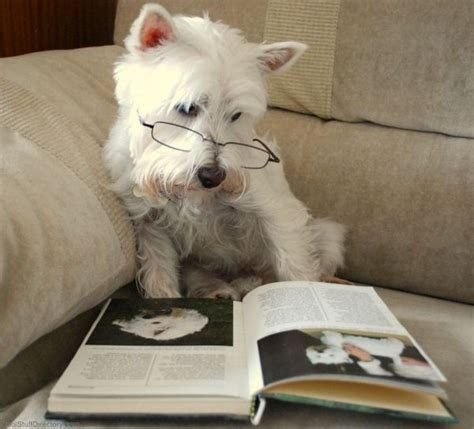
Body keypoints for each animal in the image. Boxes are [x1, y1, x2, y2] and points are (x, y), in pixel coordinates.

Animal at [103, 3, 344, 300]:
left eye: (236, 114)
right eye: (187, 107)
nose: (213, 177)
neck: (194, 196)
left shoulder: (274, 210)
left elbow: (293, 262)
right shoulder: (150, 223)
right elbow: (160, 275)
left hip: (327, 234)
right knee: (200, 273)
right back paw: (219, 289)